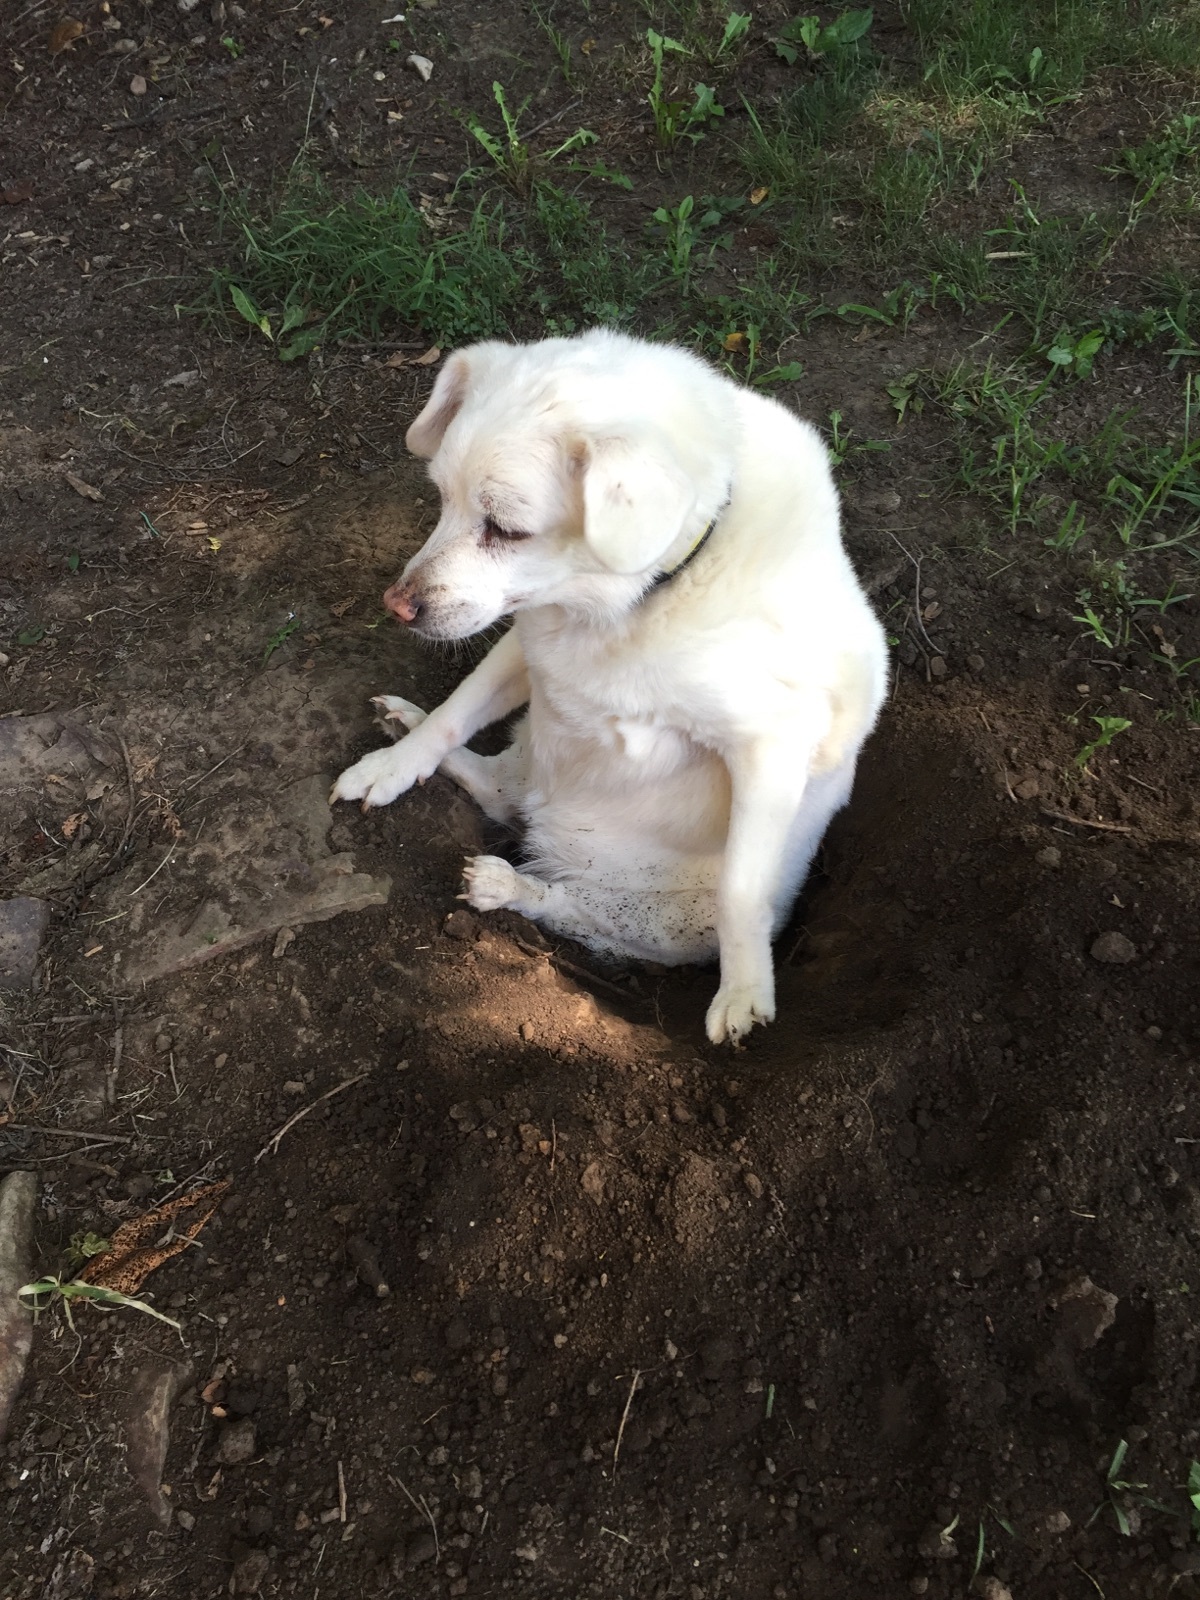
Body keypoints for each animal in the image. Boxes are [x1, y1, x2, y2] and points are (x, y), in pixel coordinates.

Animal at [334, 331, 889, 1043]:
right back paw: (409, 726)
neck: (634, 601)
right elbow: (455, 713)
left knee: (572, 905)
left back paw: (509, 886)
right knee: (492, 787)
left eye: (506, 528)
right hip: (527, 766)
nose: (398, 607)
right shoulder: (528, 641)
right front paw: (393, 766)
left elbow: (741, 891)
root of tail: (541, 818)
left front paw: (744, 991)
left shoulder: (771, 745)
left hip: (657, 920)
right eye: (442, 499)